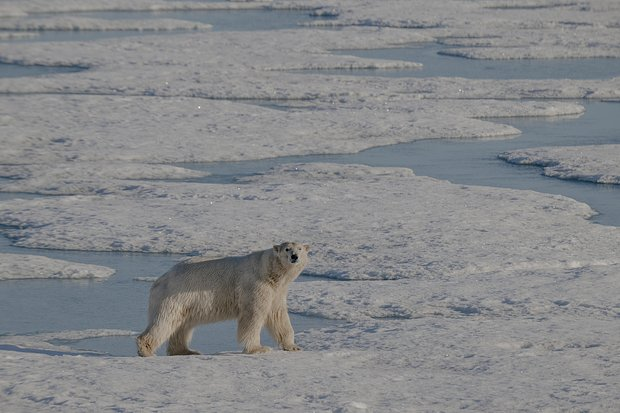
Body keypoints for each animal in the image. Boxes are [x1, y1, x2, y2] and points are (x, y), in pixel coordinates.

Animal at [136, 241, 310, 354]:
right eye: (287, 249)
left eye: (300, 248)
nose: (295, 256)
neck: (270, 272)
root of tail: (160, 279)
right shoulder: (255, 286)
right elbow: (253, 316)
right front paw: (258, 348)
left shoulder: (276, 291)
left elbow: (278, 315)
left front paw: (293, 346)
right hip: (174, 296)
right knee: (165, 321)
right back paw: (146, 349)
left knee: (181, 325)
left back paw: (186, 350)